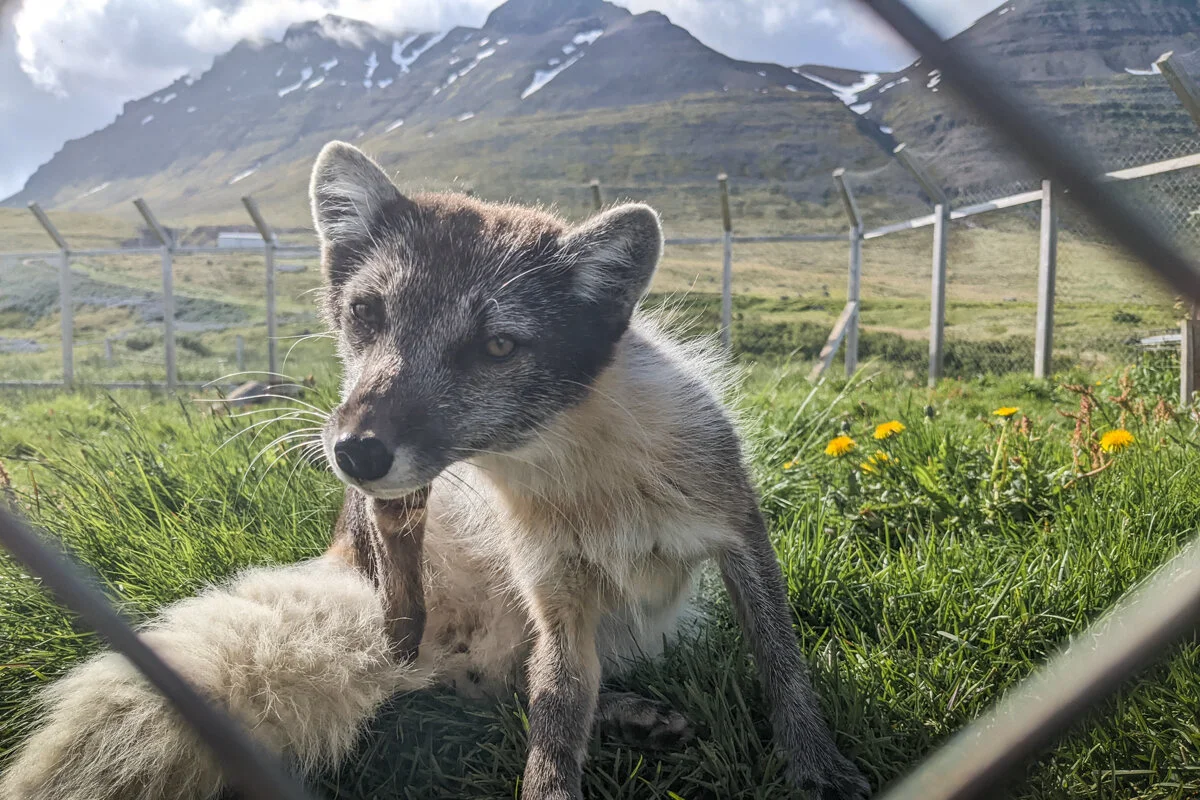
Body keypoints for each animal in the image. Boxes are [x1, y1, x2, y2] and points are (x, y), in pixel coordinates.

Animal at [0, 141, 870, 800]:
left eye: (496, 346)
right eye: (366, 314)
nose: (355, 452)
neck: (572, 468)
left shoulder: (737, 527)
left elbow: (783, 664)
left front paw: (817, 765)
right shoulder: (554, 593)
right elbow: (554, 718)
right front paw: (555, 778)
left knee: (503, 680)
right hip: (430, 587)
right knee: (476, 668)